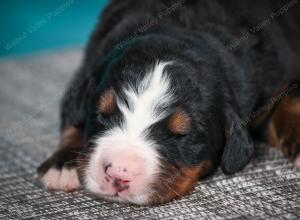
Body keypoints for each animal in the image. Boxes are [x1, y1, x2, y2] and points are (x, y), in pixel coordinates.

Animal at [37, 0, 300, 205]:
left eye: (181, 135)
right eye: (102, 114)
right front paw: (62, 165)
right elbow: (74, 117)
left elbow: (290, 103)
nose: (120, 173)